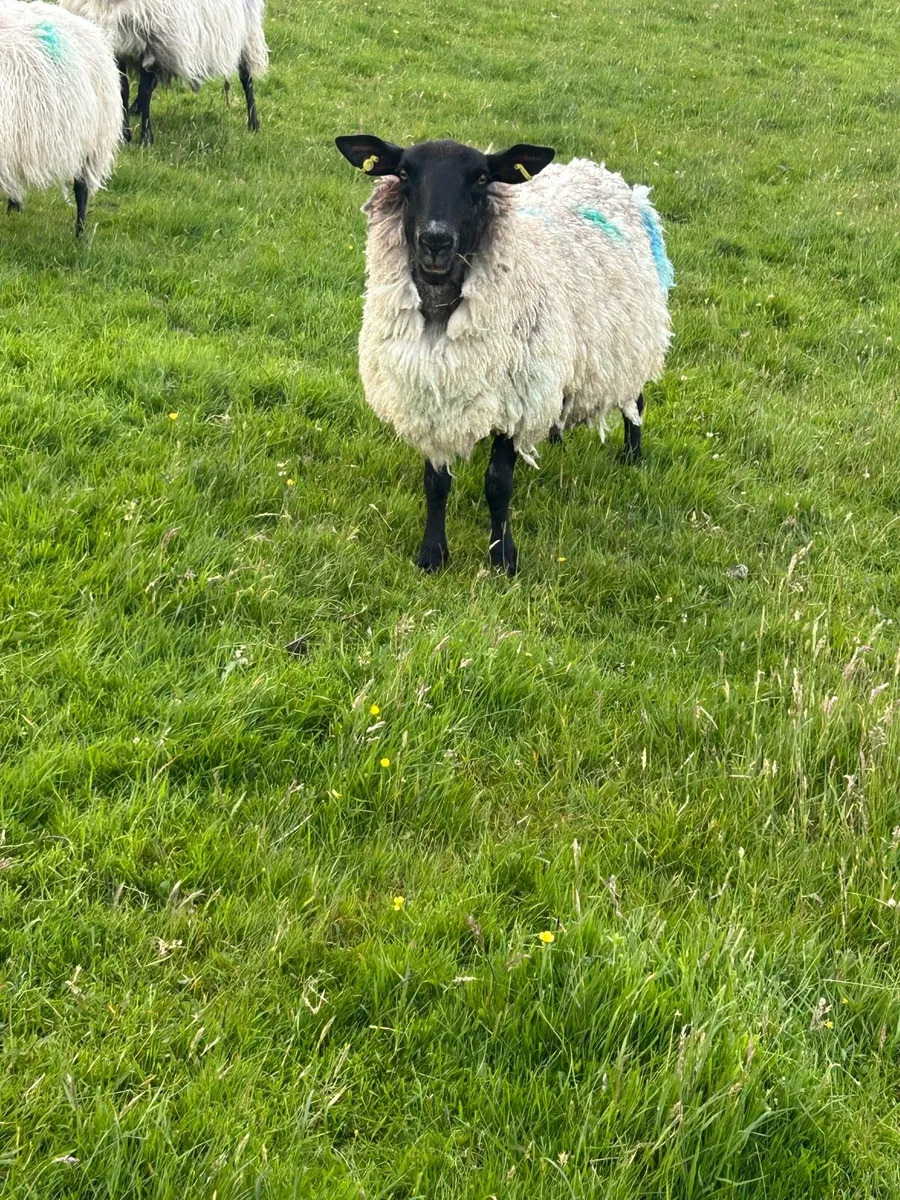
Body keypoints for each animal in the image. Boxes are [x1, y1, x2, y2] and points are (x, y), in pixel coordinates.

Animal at [59, 0, 269, 145]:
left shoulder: (153, 43)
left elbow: (144, 91)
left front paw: (146, 139)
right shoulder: (120, 47)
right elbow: (123, 90)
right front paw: (125, 134)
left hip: (245, 30)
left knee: (246, 76)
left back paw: (254, 124)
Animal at [335, 135, 674, 575]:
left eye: (481, 178)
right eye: (405, 173)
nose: (436, 241)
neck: (442, 314)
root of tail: (599, 171)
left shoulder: (517, 398)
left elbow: (498, 484)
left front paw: (502, 557)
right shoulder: (430, 392)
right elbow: (436, 483)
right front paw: (432, 554)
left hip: (627, 338)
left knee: (636, 399)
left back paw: (632, 455)